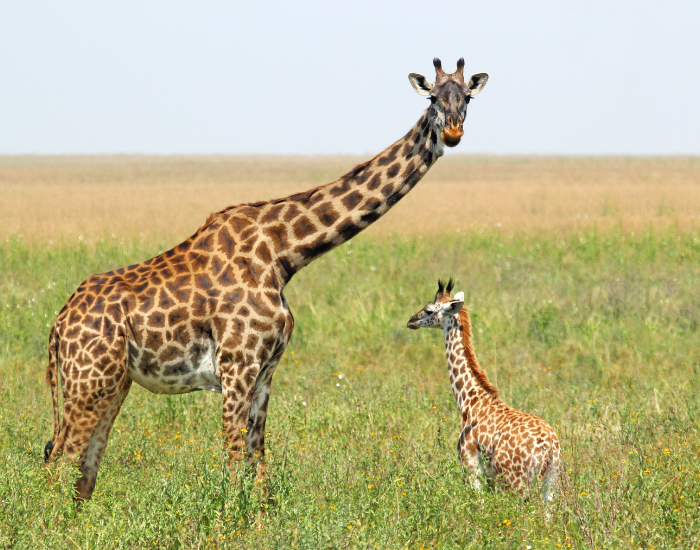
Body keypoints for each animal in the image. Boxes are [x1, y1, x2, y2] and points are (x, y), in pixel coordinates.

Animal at [43, 58, 489, 501]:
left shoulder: (265, 371)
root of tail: (59, 324)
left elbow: (258, 464)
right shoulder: (237, 365)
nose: (453, 132)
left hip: (112, 383)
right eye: (433, 98)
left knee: (82, 470)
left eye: (466, 97)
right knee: (58, 462)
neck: (281, 254)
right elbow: (233, 460)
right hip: (89, 381)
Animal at [406, 280, 561, 502]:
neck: (470, 400)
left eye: (428, 310)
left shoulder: (470, 467)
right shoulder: (490, 479)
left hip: (518, 482)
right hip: (551, 481)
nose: (411, 321)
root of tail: (549, 448)